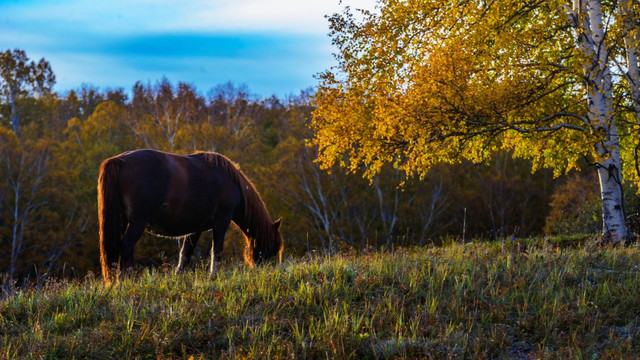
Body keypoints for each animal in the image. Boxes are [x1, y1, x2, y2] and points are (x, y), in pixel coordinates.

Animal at [97, 149, 282, 284]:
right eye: (273, 248)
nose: (268, 272)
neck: (230, 181)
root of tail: (120, 161)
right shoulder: (222, 221)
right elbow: (216, 251)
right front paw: (213, 276)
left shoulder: (195, 228)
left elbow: (185, 254)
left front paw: (177, 277)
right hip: (138, 221)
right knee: (127, 245)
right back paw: (127, 280)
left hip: (121, 222)